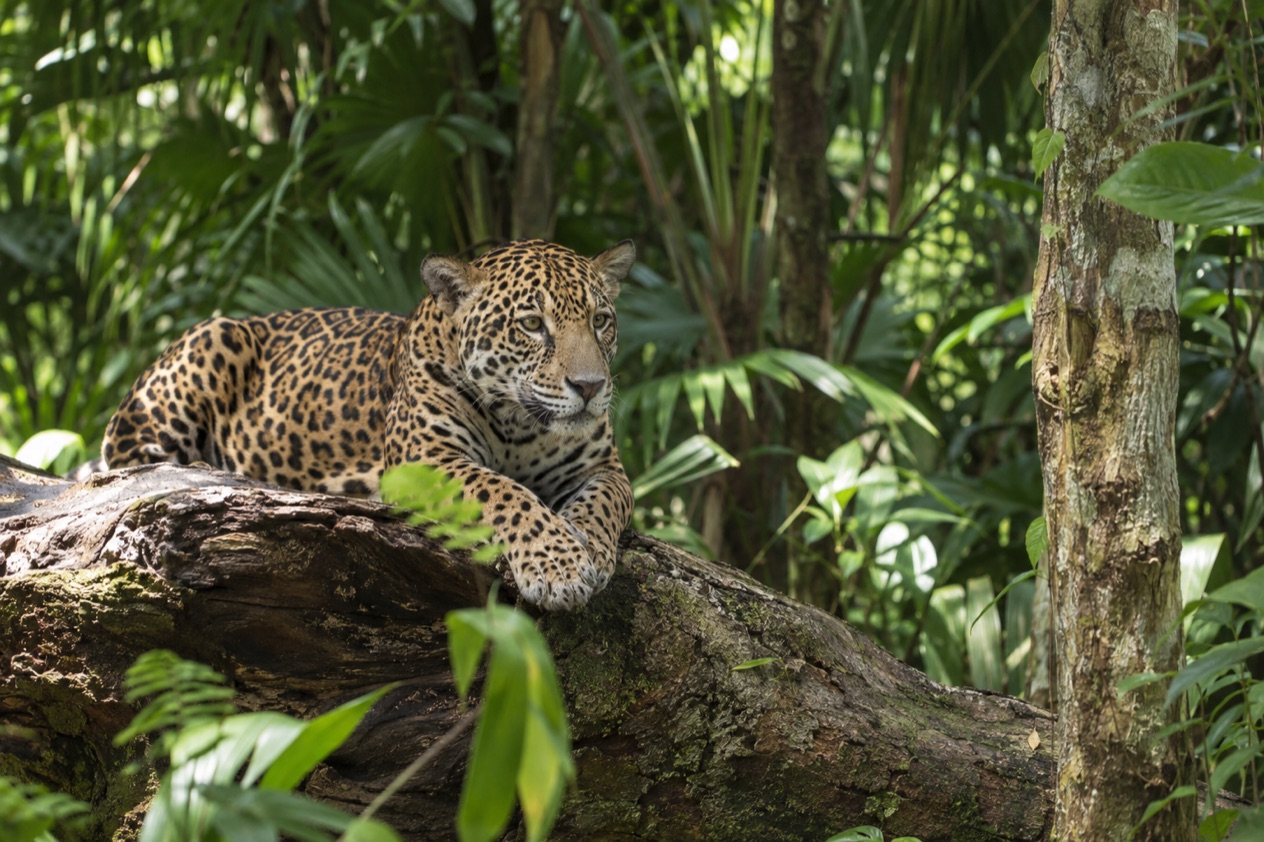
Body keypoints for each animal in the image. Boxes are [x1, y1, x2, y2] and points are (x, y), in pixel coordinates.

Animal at [102, 239, 637, 611]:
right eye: (531, 325)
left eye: (601, 320)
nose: (590, 386)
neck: (521, 426)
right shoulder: (426, 461)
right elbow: (506, 493)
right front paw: (558, 564)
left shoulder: (604, 467)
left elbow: (608, 502)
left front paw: (590, 548)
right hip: (210, 343)